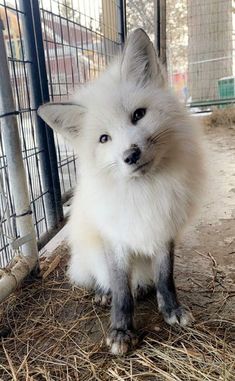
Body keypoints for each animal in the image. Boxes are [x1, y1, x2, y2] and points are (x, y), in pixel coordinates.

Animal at [38, 29, 204, 354]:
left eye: (138, 115)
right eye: (104, 138)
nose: (131, 155)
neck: (145, 193)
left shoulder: (163, 229)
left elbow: (166, 277)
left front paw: (171, 309)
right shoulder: (116, 238)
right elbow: (121, 291)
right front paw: (121, 330)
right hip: (90, 256)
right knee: (103, 280)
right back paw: (103, 293)